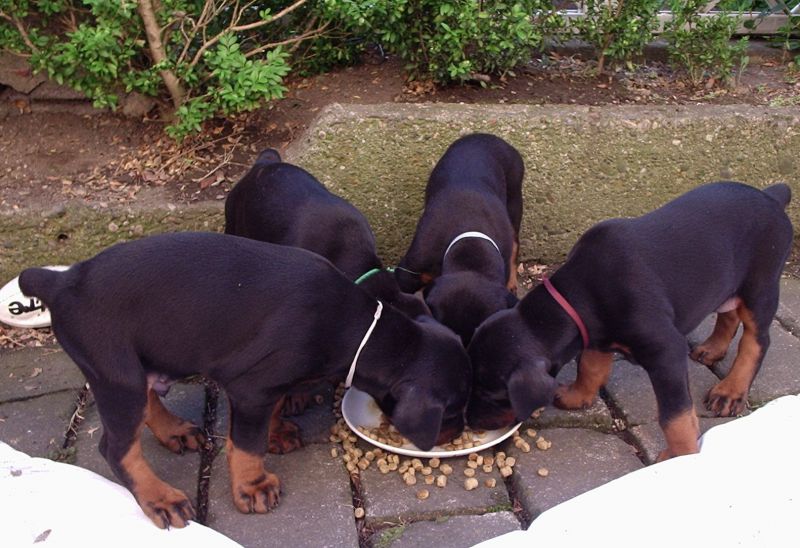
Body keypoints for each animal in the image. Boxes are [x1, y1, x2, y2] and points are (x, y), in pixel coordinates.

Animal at [19, 232, 470, 528]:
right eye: (453, 411)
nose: (458, 432)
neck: (359, 329)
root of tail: (61, 281)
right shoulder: (251, 387)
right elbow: (246, 443)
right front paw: (252, 488)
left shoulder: (264, 384)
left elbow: (271, 409)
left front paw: (277, 431)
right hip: (115, 372)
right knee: (116, 447)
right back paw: (160, 498)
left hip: (140, 361)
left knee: (148, 397)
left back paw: (175, 431)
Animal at [467, 181, 793, 461]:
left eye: (492, 394)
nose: (470, 422)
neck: (578, 293)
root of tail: (771, 196)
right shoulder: (595, 333)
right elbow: (591, 367)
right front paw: (577, 396)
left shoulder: (665, 351)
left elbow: (675, 415)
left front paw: (680, 456)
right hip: (728, 283)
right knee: (728, 314)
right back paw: (712, 349)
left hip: (760, 286)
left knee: (757, 340)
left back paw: (731, 390)